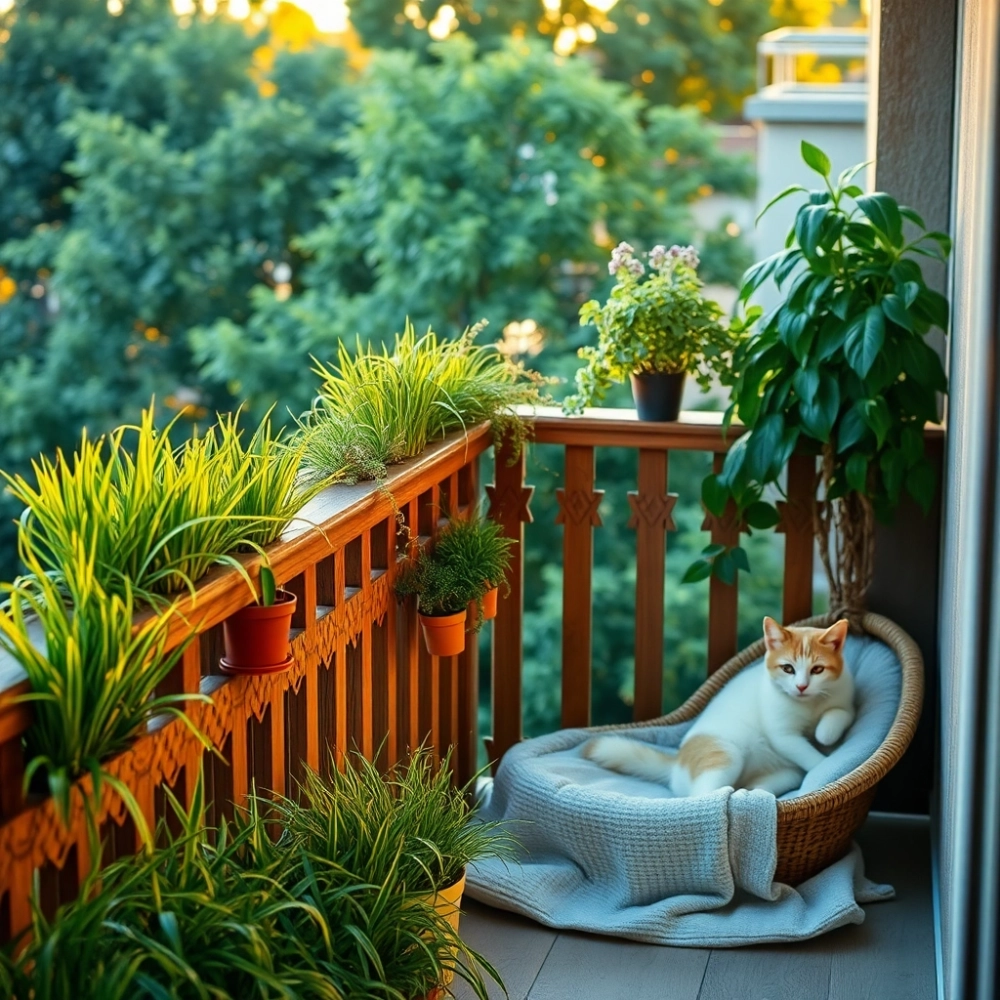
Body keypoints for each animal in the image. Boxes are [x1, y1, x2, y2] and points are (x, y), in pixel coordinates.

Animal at [584, 616, 856, 796]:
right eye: (788, 668)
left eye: (817, 670)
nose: (801, 686)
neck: (808, 704)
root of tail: (677, 762)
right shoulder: (783, 735)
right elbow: (808, 756)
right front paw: (823, 764)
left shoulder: (844, 696)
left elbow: (839, 713)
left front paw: (826, 732)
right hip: (726, 753)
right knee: (701, 796)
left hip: (785, 773)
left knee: (757, 786)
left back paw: (750, 792)